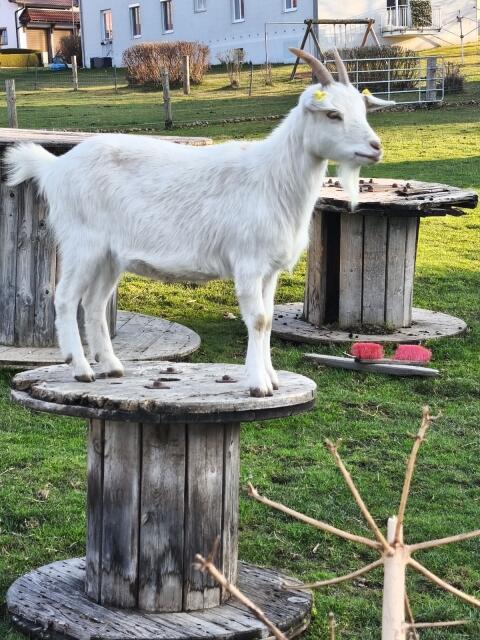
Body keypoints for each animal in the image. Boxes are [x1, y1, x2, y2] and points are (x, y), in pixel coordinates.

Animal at [5, 50, 394, 397]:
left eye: (362, 111)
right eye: (333, 114)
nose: (375, 147)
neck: (272, 177)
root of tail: (55, 167)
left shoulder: (269, 269)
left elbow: (268, 320)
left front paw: (272, 377)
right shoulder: (248, 263)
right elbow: (258, 320)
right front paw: (258, 384)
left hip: (110, 256)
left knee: (94, 303)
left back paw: (111, 366)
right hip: (81, 243)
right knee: (66, 298)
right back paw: (81, 368)